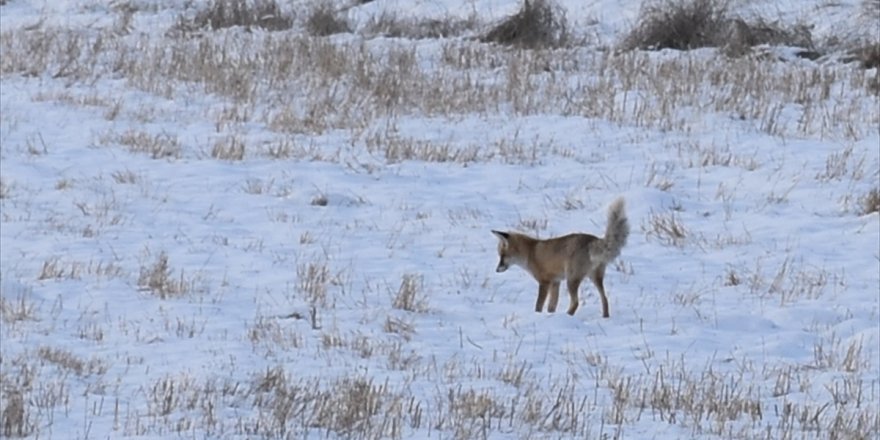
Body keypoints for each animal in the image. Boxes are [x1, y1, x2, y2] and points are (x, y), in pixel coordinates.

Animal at [492, 198, 628, 318]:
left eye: (502, 256)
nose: (496, 270)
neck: (530, 253)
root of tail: (594, 240)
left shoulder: (545, 282)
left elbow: (538, 306)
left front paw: (538, 315)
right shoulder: (555, 282)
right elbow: (551, 306)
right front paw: (551, 316)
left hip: (571, 279)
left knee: (576, 302)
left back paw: (568, 316)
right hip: (594, 278)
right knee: (604, 298)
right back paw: (605, 317)